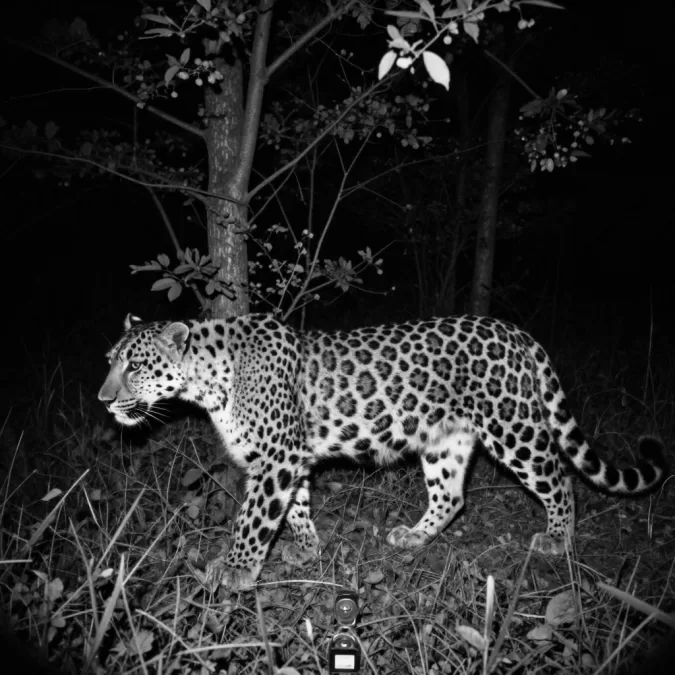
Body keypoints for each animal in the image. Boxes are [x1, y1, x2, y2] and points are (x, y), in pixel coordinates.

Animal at [98, 313, 667, 591]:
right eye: (109, 361)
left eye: (135, 365)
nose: (103, 400)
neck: (208, 382)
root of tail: (516, 332)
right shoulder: (289, 458)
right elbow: (296, 507)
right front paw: (308, 548)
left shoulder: (276, 458)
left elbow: (255, 517)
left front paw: (237, 569)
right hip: (443, 440)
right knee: (452, 497)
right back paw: (412, 537)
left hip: (513, 427)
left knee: (559, 476)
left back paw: (557, 540)